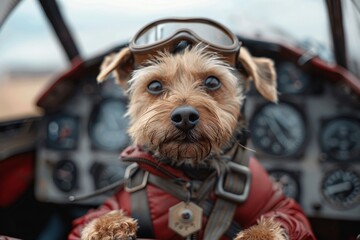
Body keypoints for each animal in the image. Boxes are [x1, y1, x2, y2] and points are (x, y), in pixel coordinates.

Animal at [69, 18, 314, 240]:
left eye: (213, 82)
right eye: (154, 85)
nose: (185, 116)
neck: (191, 173)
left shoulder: (274, 201)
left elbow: (283, 216)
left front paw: (258, 235)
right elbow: (94, 215)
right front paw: (108, 227)